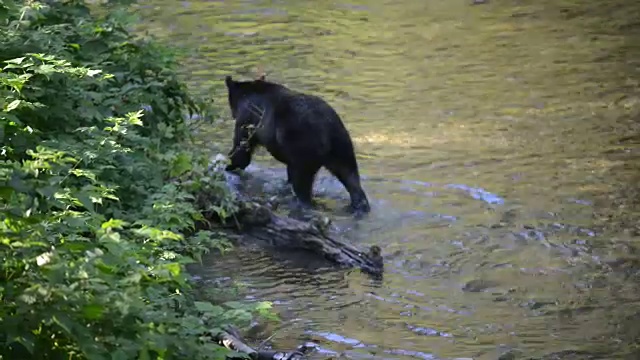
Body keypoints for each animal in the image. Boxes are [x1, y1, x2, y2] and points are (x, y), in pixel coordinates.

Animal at [222, 75, 370, 214]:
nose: (232, 114)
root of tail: (327, 127)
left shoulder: (249, 119)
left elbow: (242, 147)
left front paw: (228, 165)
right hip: (341, 145)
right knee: (350, 175)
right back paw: (360, 205)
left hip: (304, 146)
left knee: (302, 181)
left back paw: (304, 203)